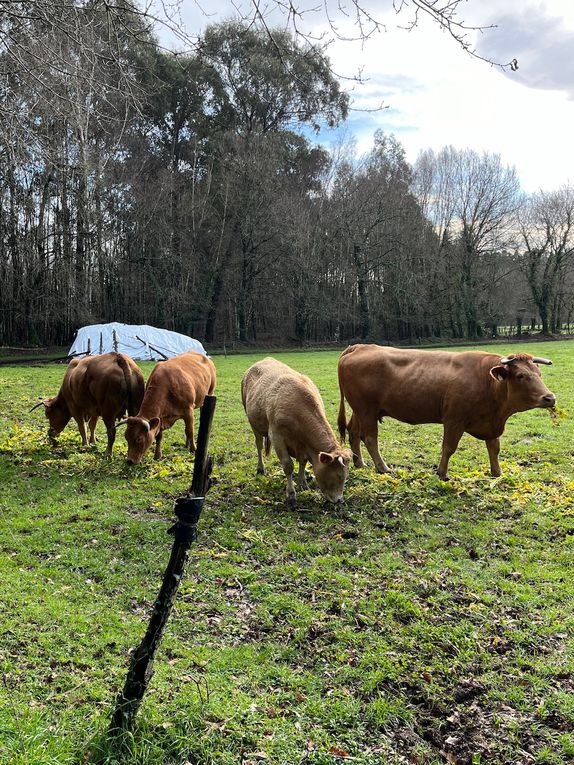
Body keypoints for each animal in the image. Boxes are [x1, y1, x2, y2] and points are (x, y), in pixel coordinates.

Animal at [242, 356, 354, 508]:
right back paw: (260, 468)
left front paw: (303, 483)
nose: (339, 500)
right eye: (339, 475)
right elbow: (288, 465)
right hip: (253, 422)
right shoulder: (276, 436)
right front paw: (291, 494)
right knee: (259, 445)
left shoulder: (303, 444)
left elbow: (303, 461)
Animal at [338, 344, 560, 478]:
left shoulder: (490, 423)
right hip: (366, 410)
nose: (550, 398)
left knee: (353, 433)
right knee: (370, 438)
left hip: (360, 410)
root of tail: (359, 347)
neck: (487, 381)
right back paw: (383, 467)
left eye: (539, 373)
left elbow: (494, 448)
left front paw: (497, 473)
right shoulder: (454, 420)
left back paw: (360, 463)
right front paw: (442, 473)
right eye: (521, 375)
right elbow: (448, 448)